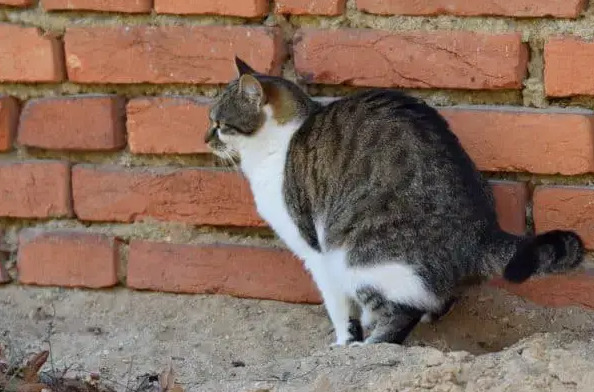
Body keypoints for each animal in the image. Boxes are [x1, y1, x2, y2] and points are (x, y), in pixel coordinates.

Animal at [204, 57, 584, 346]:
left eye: (219, 124)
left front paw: (344, 343)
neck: (282, 139)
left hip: (357, 255)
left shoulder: (316, 252)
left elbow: (339, 309)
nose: (205, 138)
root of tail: (479, 232)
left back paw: (371, 345)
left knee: (401, 311)